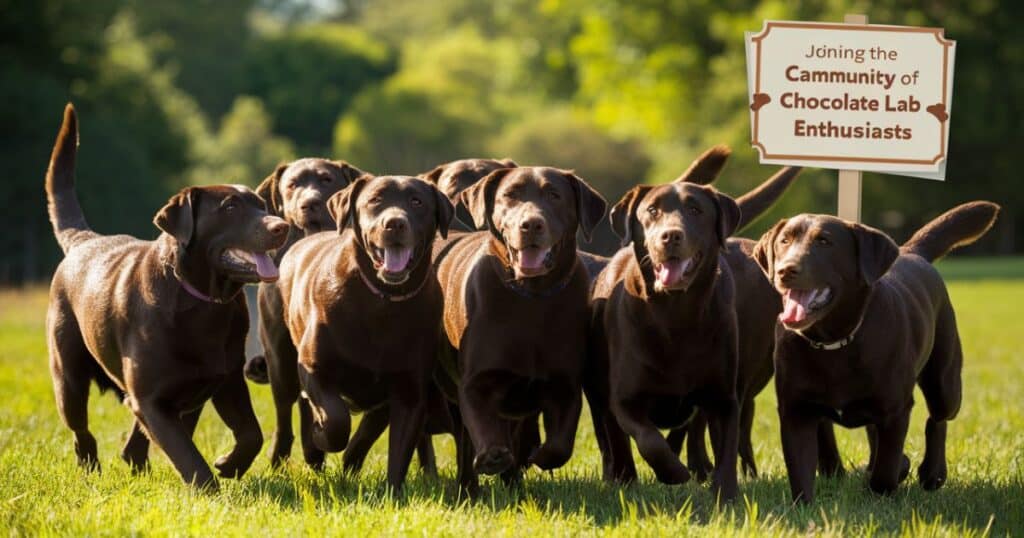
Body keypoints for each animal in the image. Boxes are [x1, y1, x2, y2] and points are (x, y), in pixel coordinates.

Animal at [43, 104, 284, 485]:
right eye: (230, 207)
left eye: (261, 205)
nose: (281, 226)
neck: (204, 302)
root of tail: (84, 240)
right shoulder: (151, 399)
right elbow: (188, 456)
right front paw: (210, 486)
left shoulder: (227, 378)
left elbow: (251, 433)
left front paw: (229, 464)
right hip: (68, 375)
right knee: (81, 430)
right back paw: (90, 469)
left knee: (133, 446)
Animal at [276, 174, 452, 487]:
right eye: (375, 200)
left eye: (417, 202)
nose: (394, 223)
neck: (383, 301)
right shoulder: (314, 368)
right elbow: (336, 421)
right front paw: (321, 436)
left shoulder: (410, 390)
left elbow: (398, 450)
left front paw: (393, 491)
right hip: (282, 363)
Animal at [430, 166, 598, 487]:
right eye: (510, 194)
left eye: (554, 195)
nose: (530, 224)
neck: (531, 297)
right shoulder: (475, 382)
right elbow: (482, 427)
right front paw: (493, 456)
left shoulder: (566, 384)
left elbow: (560, 445)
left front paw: (537, 456)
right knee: (467, 442)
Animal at [589, 146, 786, 500]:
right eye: (651, 211)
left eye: (695, 210)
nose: (670, 236)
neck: (676, 314)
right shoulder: (625, 399)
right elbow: (649, 440)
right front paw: (671, 473)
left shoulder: (724, 397)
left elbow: (726, 446)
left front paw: (725, 492)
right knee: (618, 438)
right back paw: (625, 477)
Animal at [753, 202, 999, 504]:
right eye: (784, 241)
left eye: (824, 241)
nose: (785, 270)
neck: (833, 342)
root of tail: (911, 252)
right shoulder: (795, 410)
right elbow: (799, 469)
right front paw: (804, 508)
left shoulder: (896, 409)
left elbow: (886, 466)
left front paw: (881, 494)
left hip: (945, 380)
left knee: (938, 419)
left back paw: (933, 473)